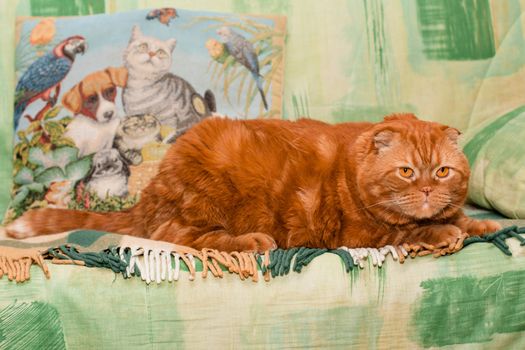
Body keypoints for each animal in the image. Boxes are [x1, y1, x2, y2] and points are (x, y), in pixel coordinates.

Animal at [7, 115, 500, 254]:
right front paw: (444, 230)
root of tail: (151, 190)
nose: (427, 191)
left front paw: (480, 224)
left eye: (442, 172)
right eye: (406, 172)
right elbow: (410, 230)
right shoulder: (359, 234)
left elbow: (459, 218)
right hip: (206, 193)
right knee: (182, 236)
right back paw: (253, 241)